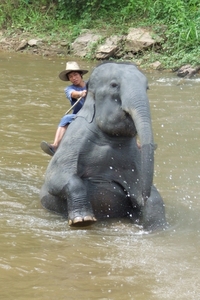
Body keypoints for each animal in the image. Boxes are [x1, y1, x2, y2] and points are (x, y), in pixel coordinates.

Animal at [39, 60, 166, 230]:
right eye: (114, 85)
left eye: (147, 88)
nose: (144, 197)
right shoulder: (72, 143)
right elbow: (56, 177)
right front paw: (83, 221)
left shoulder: (135, 158)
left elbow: (151, 195)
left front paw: (156, 225)